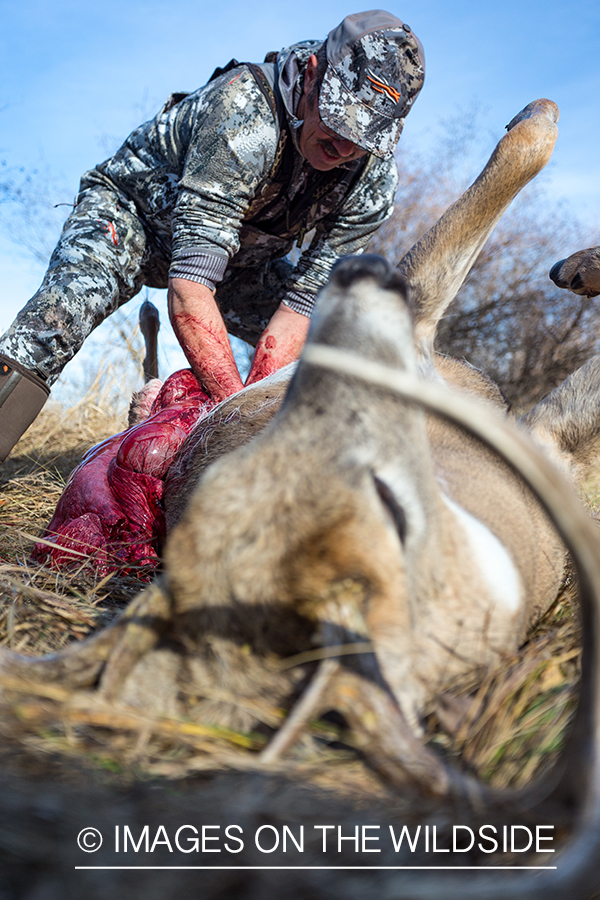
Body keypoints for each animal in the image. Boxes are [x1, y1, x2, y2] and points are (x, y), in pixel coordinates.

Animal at [1, 100, 600, 900]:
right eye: (384, 502)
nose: (358, 272)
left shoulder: (542, 441)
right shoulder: (462, 358)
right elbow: (519, 161)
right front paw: (538, 126)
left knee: (150, 372)